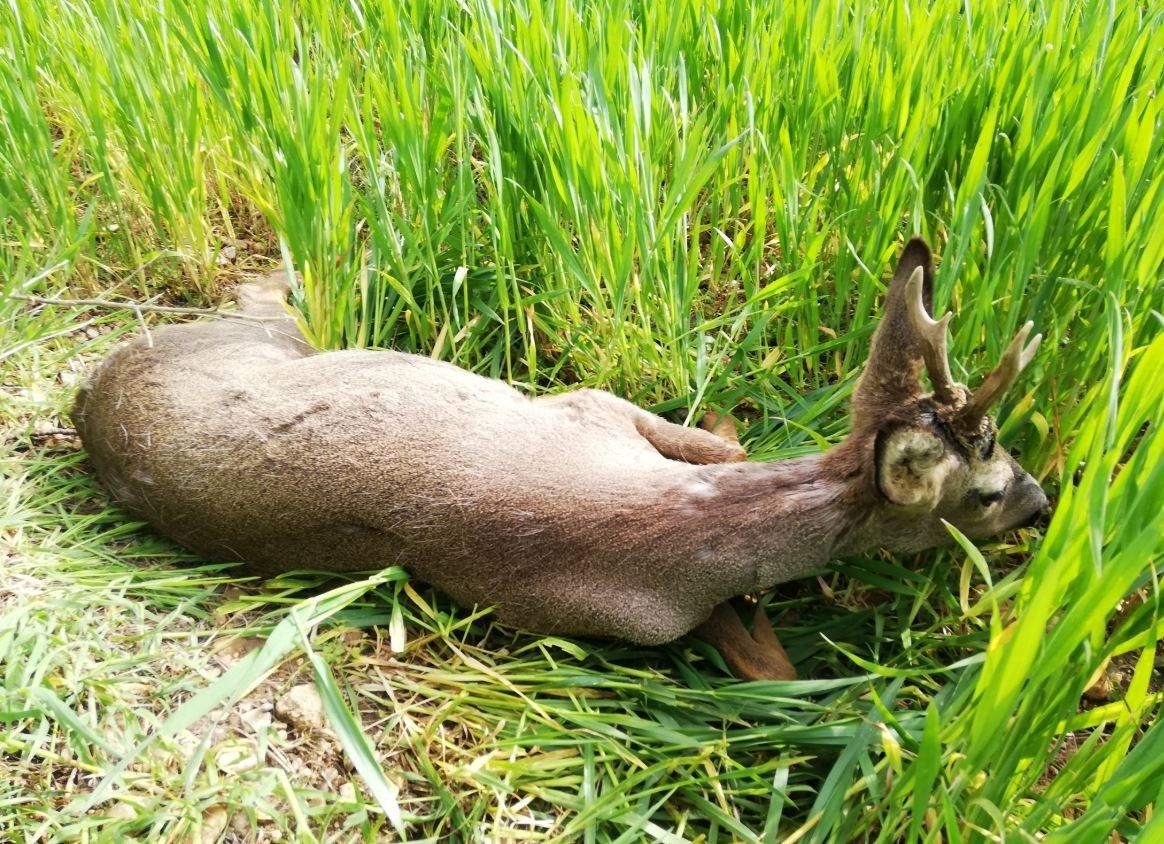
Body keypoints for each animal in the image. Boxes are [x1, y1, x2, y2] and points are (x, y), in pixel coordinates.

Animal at [75, 237, 1056, 679]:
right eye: (986, 491)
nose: (1046, 503)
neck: (695, 532)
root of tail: (84, 400)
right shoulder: (619, 611)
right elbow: (767, 662)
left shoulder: (596, 409)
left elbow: (722, 442)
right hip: (266, 336)